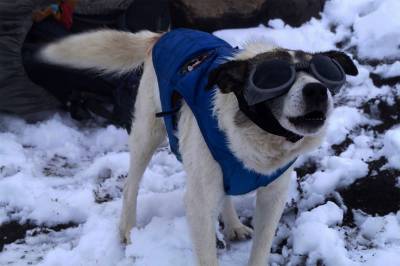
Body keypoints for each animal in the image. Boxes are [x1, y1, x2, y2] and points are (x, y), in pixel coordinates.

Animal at [39, 28, 360, 264]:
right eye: (275, 77)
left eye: (324, 72)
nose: (317, 90)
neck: (255, 134)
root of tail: (162, 35)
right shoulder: (199, 205)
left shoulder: (273, 194)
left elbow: (260, 248)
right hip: (148, 133)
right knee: (131, 184)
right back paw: (128, 230)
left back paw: (232, 224)